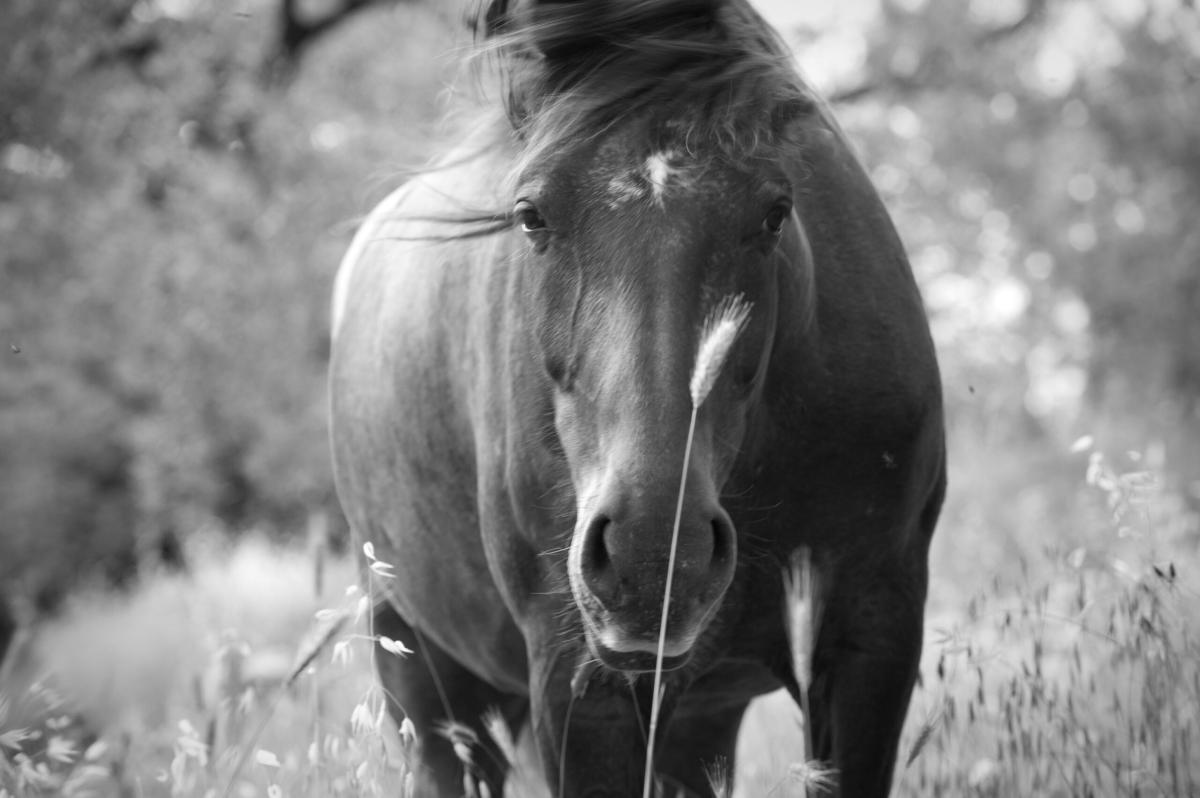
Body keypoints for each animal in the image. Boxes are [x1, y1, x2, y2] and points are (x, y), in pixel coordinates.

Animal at [331, 3, 945, 792]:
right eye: (530, 214)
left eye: (776, 212)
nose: (652, 555)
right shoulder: (582, 687)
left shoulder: (872, 643)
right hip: (423, 674)